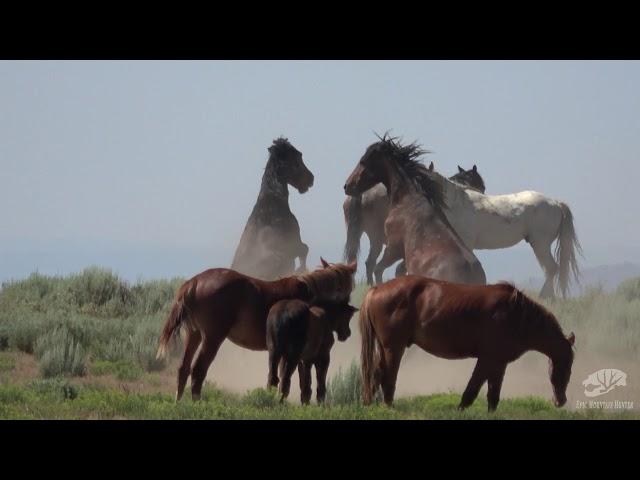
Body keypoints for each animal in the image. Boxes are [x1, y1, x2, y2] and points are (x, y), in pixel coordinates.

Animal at [155, 258, 356, 402]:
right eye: (350, 286)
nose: (346, 332)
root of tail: (194, 282)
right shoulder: (298, 355)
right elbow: (296, 381)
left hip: (194, 334)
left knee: (183, 368)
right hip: (212, 337)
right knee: (198, 370)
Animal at [360, 276, 576, 410]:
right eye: (568, 365)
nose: (561, 401)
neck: (516, 315)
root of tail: (375, 290)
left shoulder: (499, 363)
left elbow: (493, 396)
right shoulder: (487, 360)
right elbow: (472, 390)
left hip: (384, 348)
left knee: (376, 373)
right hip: (393, 348)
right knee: (387, 376)